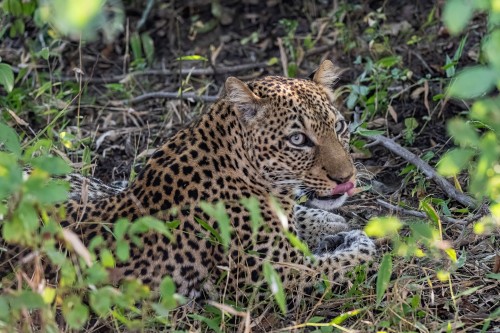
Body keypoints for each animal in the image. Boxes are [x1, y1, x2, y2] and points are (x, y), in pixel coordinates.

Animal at [1, 59, 376, 308]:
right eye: (298, 140)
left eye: (338, 127)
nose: (346, 178)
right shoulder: (277, 279)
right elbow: (350, 263)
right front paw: (356, 241)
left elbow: (300, 216)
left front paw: (331, 224)